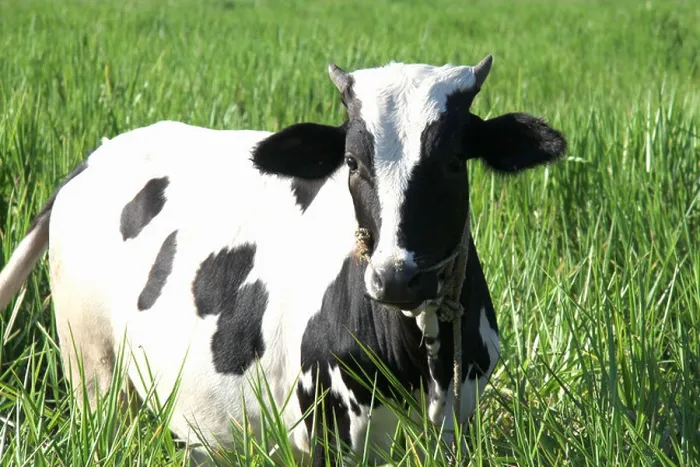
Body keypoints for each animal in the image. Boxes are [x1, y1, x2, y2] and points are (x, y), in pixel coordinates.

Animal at [0, 55, 566, 465]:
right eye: (352, 162)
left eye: (452, 161)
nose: (395, 277)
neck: (420, 359)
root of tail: (95, 156)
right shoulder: (328, 433)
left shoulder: (459, 423)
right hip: (92, 373)